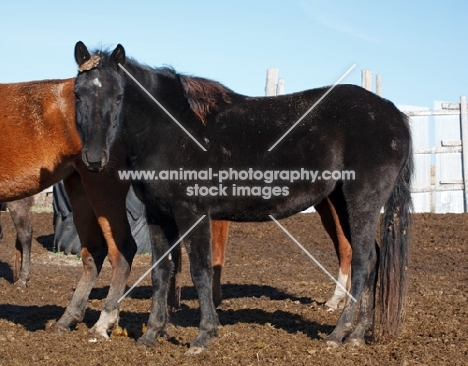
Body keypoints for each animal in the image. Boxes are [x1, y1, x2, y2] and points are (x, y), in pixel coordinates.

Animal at [73, 43, 414, 354]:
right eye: (77, 94)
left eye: (118, 96)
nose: (94, 159)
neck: (169, 129)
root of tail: (391, 112)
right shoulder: (158, 215)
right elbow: (161, 272)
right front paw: (151, 335)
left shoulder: (192, 213)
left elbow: (201, 271)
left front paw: (203, 336)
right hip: (342, 203)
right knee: (373, 259)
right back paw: (358, 335)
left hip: (362, 201)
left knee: (362, 261)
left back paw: (338, 333)